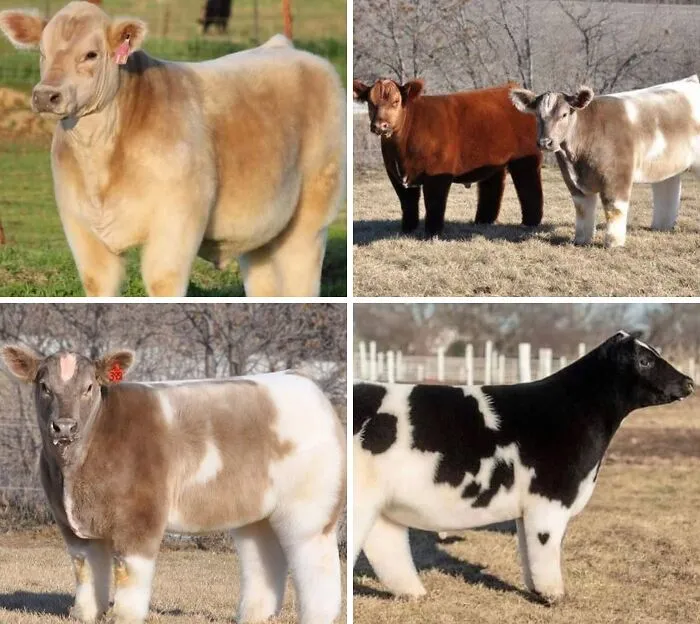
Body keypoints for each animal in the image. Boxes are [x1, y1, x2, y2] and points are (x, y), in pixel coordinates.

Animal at [0, 1, 344, 296]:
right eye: (42, 52)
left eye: (91, 54)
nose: (46, 95)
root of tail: (287, 48)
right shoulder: (80, 224)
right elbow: (97, 284)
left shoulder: (176, 221)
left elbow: (162, 281)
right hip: (260, 230)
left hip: (311, 216)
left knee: (302, 274)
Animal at [1, 345, 345, 624]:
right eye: (44, 386)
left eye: (89, 387)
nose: (64, 426)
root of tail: (305, 383)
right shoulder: (71, 525)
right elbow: (86, 573)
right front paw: (85, 614)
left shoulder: (140, 517)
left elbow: (129, 574)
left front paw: (124, 616)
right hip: (256, 512)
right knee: (262, 558)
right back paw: (252, 615)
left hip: (309, 510)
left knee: (317, 565)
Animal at [353, 79, 544, 236]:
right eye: (370, 103)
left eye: (396, 102)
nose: (380, 125)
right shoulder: (395, 174)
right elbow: (407, 203)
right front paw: (407, 230)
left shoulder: (437, 173)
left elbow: (434, 202)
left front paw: (433, 233)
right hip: (493, 160)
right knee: (492, 186)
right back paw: (484, 220)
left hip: (525, 159)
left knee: (529, 187)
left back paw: (530, 223)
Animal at [353, 331, 694, 604]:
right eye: (645, 361)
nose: (689, 382)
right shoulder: (549, 498)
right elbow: (545, 548)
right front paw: (554, 595)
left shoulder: (527, 508)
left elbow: (528, 550)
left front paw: (536, 590)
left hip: (382, 506)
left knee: (385, 547)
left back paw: (414, 593)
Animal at [510, 77, 700, 248]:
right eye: (537, 116)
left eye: (564, 114)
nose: (545, 142)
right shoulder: (573, 183)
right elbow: (582, 209)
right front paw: (581, 240)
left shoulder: (617, 177)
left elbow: (614, 208)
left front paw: (613, 243)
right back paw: (662, 226)